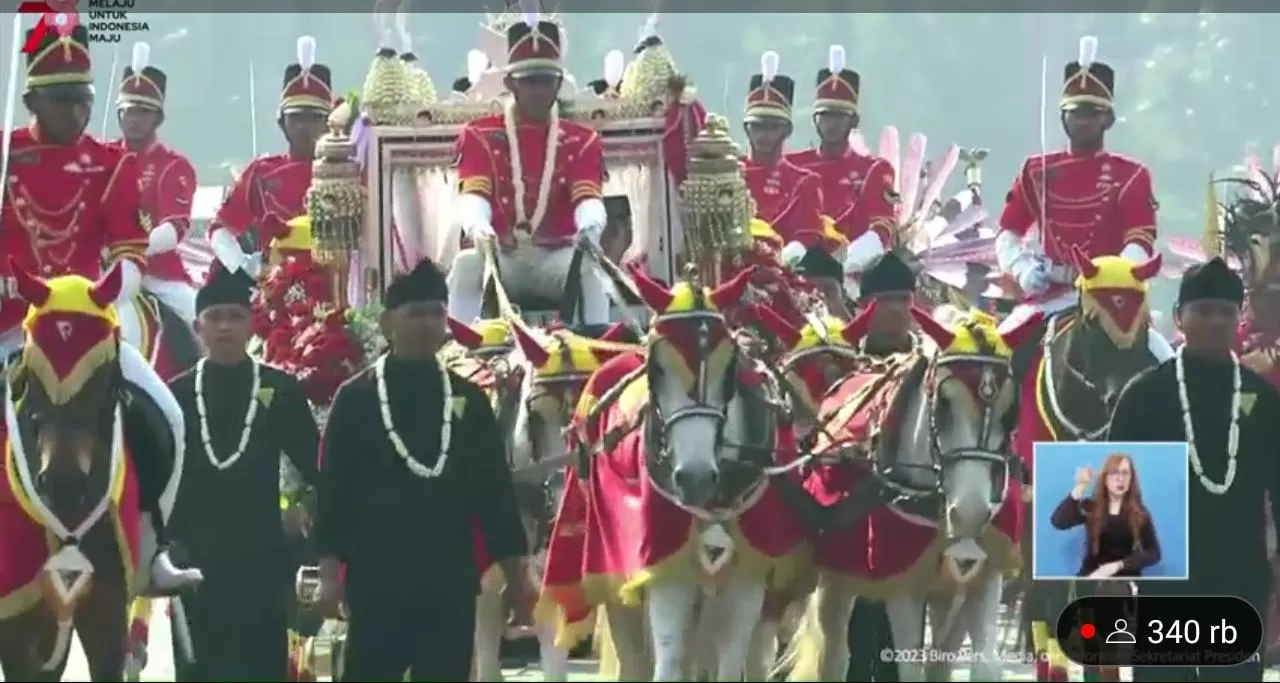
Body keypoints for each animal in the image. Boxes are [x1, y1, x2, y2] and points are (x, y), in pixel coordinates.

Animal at [540, 264, 808, 680]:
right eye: (657, 367)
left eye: (729, 365)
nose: (695, 478)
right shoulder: (666, 571)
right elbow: (667, 663)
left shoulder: (749, 576)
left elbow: (732, 662)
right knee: (633, 654)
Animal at [778, 305, 1039, 683]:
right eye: (943, 404)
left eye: (1010, 410)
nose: (971, 513)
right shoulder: (904, 585)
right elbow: (908, 666)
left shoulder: (985, 577)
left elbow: (980, 665)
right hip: (836, 577)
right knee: (835, 654)